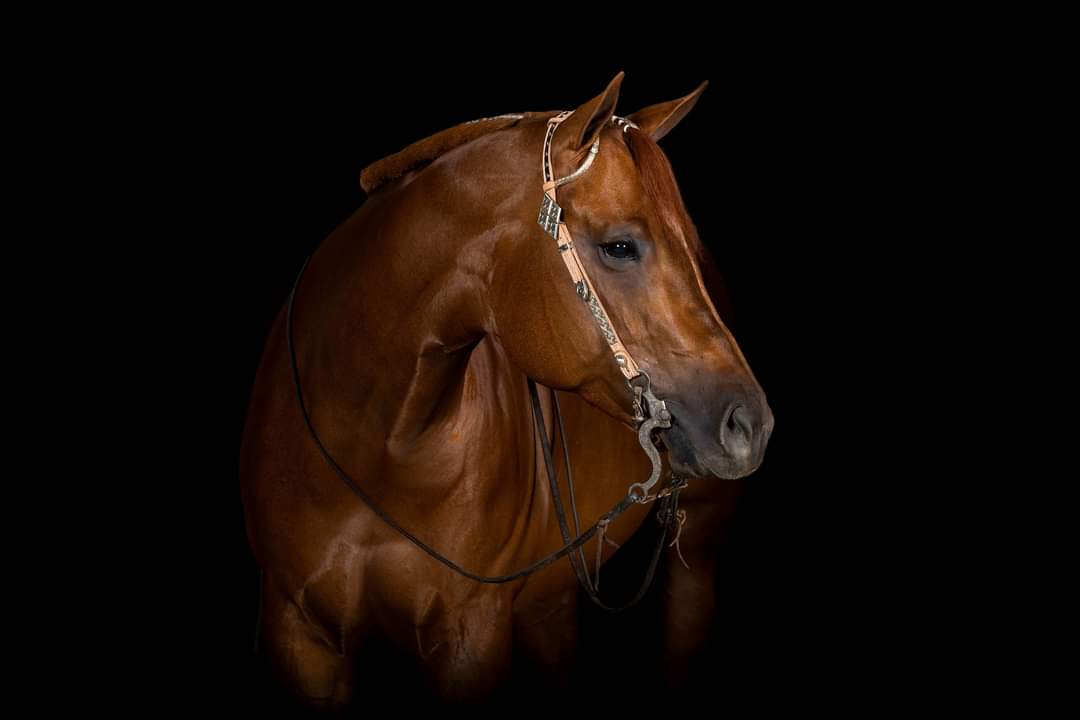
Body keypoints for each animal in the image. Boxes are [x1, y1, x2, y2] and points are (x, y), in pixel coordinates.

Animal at [240, 72, 773, 706]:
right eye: (619, 246)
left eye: (689, 243)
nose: (750, 424)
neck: (376, 439)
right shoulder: (299, 631)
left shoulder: (473, 633)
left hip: (699, 544)